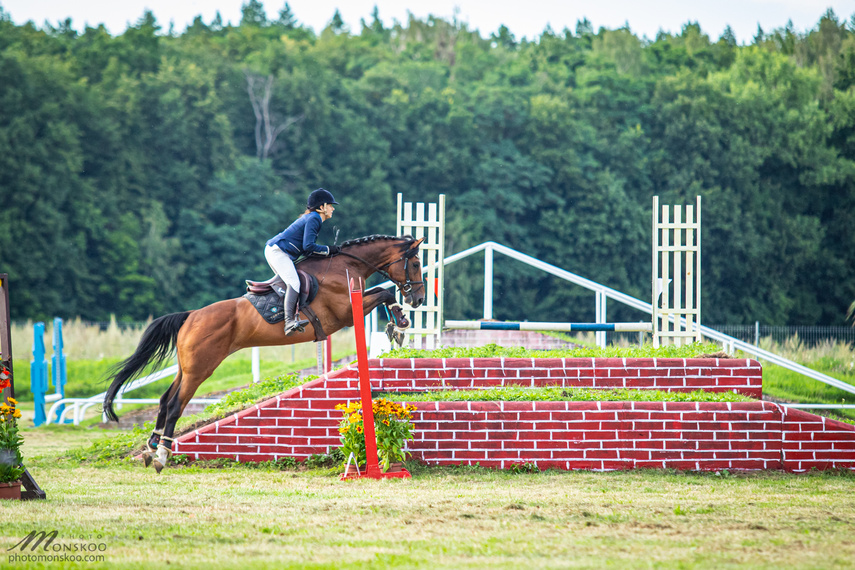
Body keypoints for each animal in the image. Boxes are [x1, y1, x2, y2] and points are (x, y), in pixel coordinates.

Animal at [104, 234, 428, 470]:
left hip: (187, 368)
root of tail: (191, 316)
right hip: (200, 369)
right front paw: (399, 323)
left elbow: (384, 294)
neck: (346, 265)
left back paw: (150, 448)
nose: (419, 299)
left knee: (163, 400)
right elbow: (384, 292)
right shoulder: (346, 313)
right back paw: (162, 456)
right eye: (415, 264)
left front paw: (398, 324)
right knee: (174, 405)